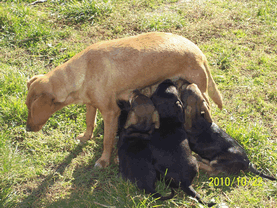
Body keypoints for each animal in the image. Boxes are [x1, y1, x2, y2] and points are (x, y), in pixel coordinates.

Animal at [24, 33, 221, 169]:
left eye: (31, 109)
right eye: (26, 106)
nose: (27, 128)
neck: (83, 71)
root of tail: (199, 52)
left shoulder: (111, 113)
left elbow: (107, 141)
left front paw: (103, 161)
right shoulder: (91, 104)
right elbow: (89, 123)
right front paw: (86, 137)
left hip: (200, 91)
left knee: (206, 109)